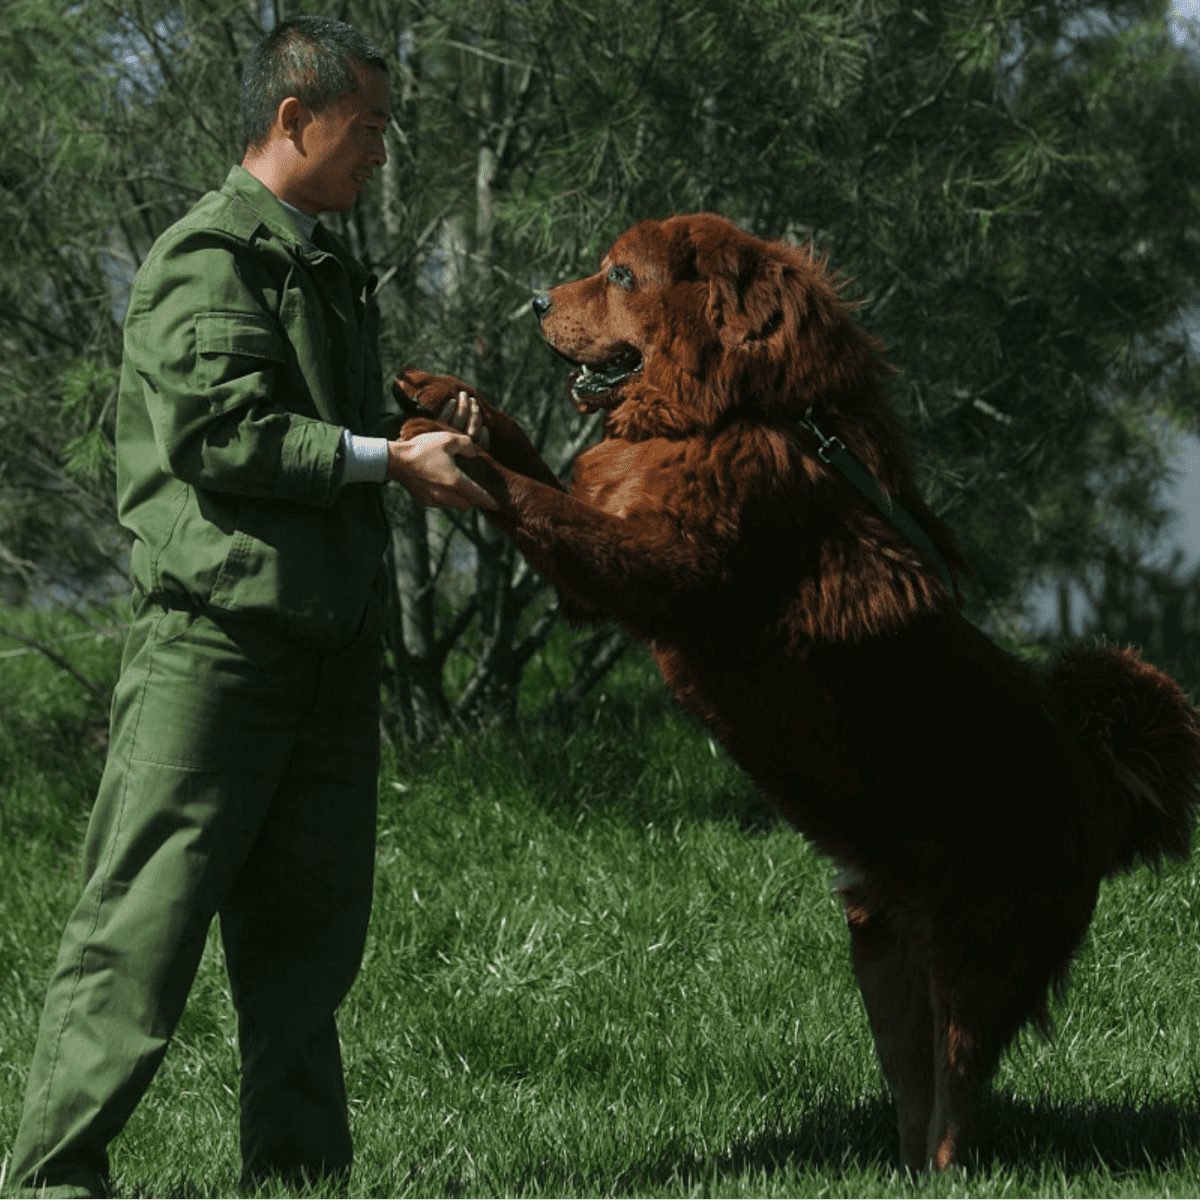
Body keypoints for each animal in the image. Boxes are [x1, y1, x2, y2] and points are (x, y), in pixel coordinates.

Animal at [396, 213, 1200, 1171]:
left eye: (620, 275)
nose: (536, 300)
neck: (736, 416)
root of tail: (1104, 779)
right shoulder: (607, 554)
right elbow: (535, 459)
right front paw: (450, 393)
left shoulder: (654, 569)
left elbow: (532, 495)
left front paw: (453, 452)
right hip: (886, 958)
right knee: (916, 1087)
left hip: (981, 957)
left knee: (958, 1098)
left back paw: (946, 1173)